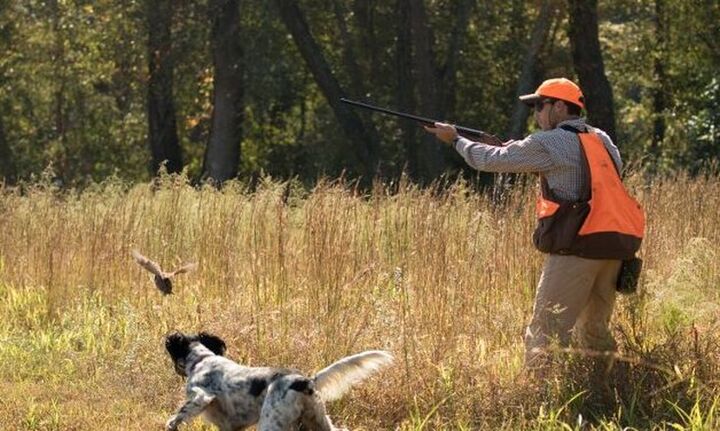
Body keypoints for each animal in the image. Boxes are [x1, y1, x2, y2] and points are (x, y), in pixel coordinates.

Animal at [165, 332, 394, 430]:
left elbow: (177, 416)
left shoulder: (201, 395)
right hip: (317, 421)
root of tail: (305, 381)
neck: (203, 359)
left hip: (272, 422)